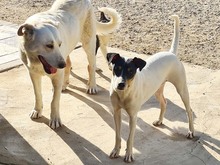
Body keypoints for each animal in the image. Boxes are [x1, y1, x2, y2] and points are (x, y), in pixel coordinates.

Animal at [16, 0, 120, 129]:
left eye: (59, 44)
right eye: (49, 45)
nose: (61, 65)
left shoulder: (57, 73)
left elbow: (54, 101)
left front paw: (55, 119)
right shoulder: (33, 74)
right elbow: (37, 94)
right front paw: (37, 110)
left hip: (89, 44)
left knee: (91, 66)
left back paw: (91, 86)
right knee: (69, 64)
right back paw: (64, 83)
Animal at [107, 15, 194, 162]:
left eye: (131, 71)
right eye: (117, 68)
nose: (120, 84)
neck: (125, 93)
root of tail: (171, 53)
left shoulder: (133, 116)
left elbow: (130, 138)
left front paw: (128, 154)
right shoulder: (116, 112)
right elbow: (118, 136)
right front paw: (115, 150)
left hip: (182, 89)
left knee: (189, 111)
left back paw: (191, 131)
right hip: (157, 90)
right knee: (164, 103)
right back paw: (160, 120)